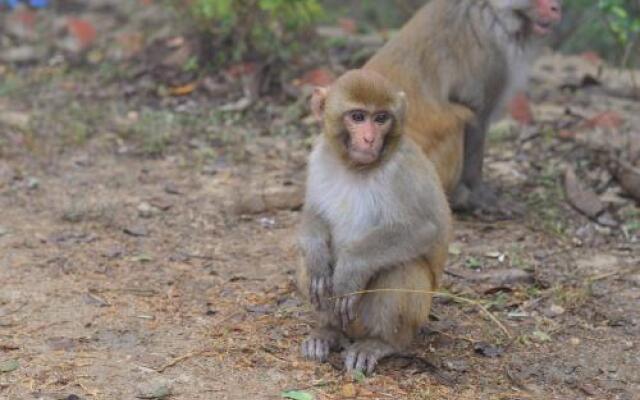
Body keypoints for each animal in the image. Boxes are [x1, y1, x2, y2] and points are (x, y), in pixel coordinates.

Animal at [298, 69, 452, 376]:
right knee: (306, 265)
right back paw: (327, 332)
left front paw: (351, 268)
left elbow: (423, 229)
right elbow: (314, 211)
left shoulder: (404, 170)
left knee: (403, 268)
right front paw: (316, 253)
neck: (355, 167)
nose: (369, 139)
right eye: (358, 117)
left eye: (381, 118)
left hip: (393, 316)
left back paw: (380, 343)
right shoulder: (319, 156)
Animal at [362, 0, 564, 212]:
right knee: (458, 117)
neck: (493, 13)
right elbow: (476, 114)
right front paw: (480, 195)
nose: (556, 8)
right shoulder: (492, 58)